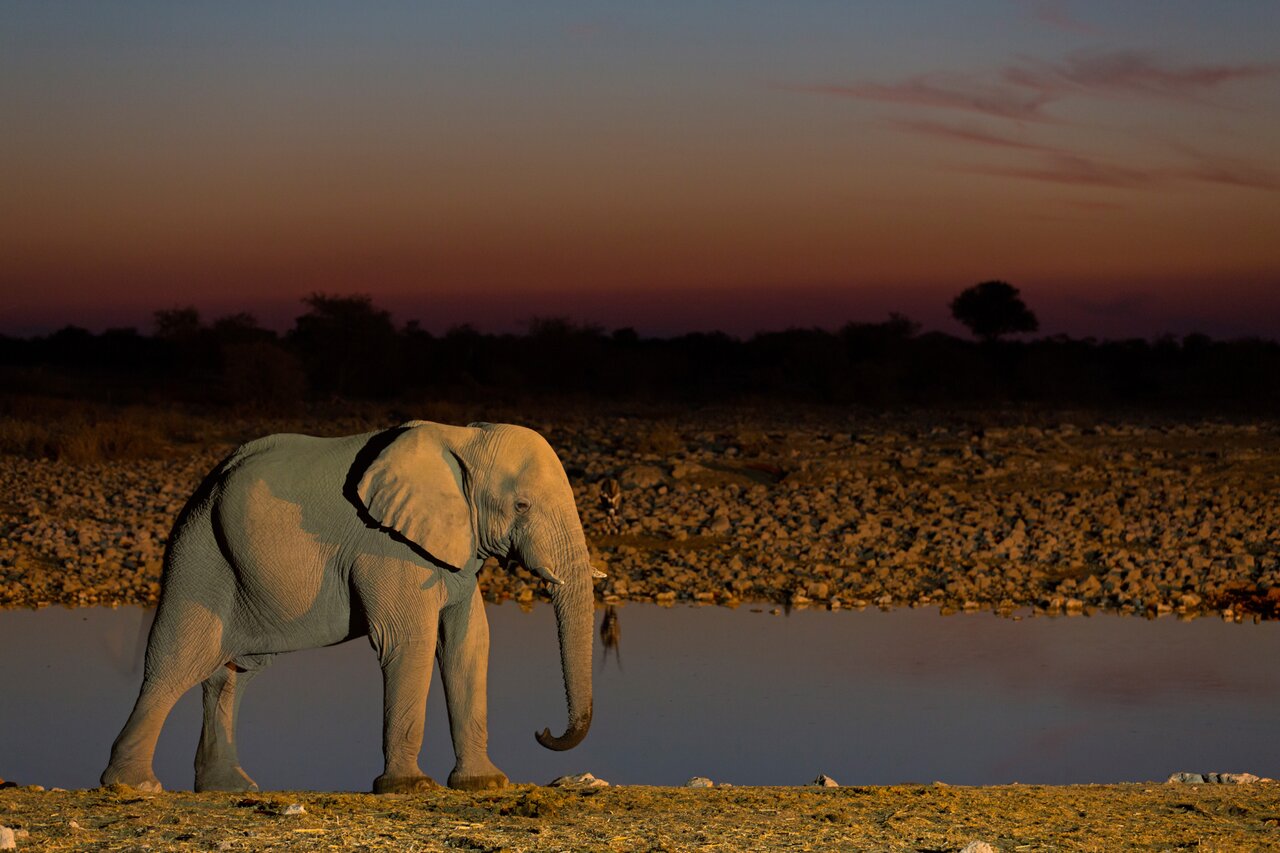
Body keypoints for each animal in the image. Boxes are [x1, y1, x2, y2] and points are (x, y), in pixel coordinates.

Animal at [99, 417, 599, 788]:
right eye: (522, 506)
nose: (542, 731)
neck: (461, 437)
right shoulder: (386, 545)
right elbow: (409, 641)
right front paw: (409, 788)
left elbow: (468, 643)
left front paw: (484, 784)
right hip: (198, 551)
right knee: (180, 661)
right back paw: (134, 785)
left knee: (233, 671)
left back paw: (228, 788)